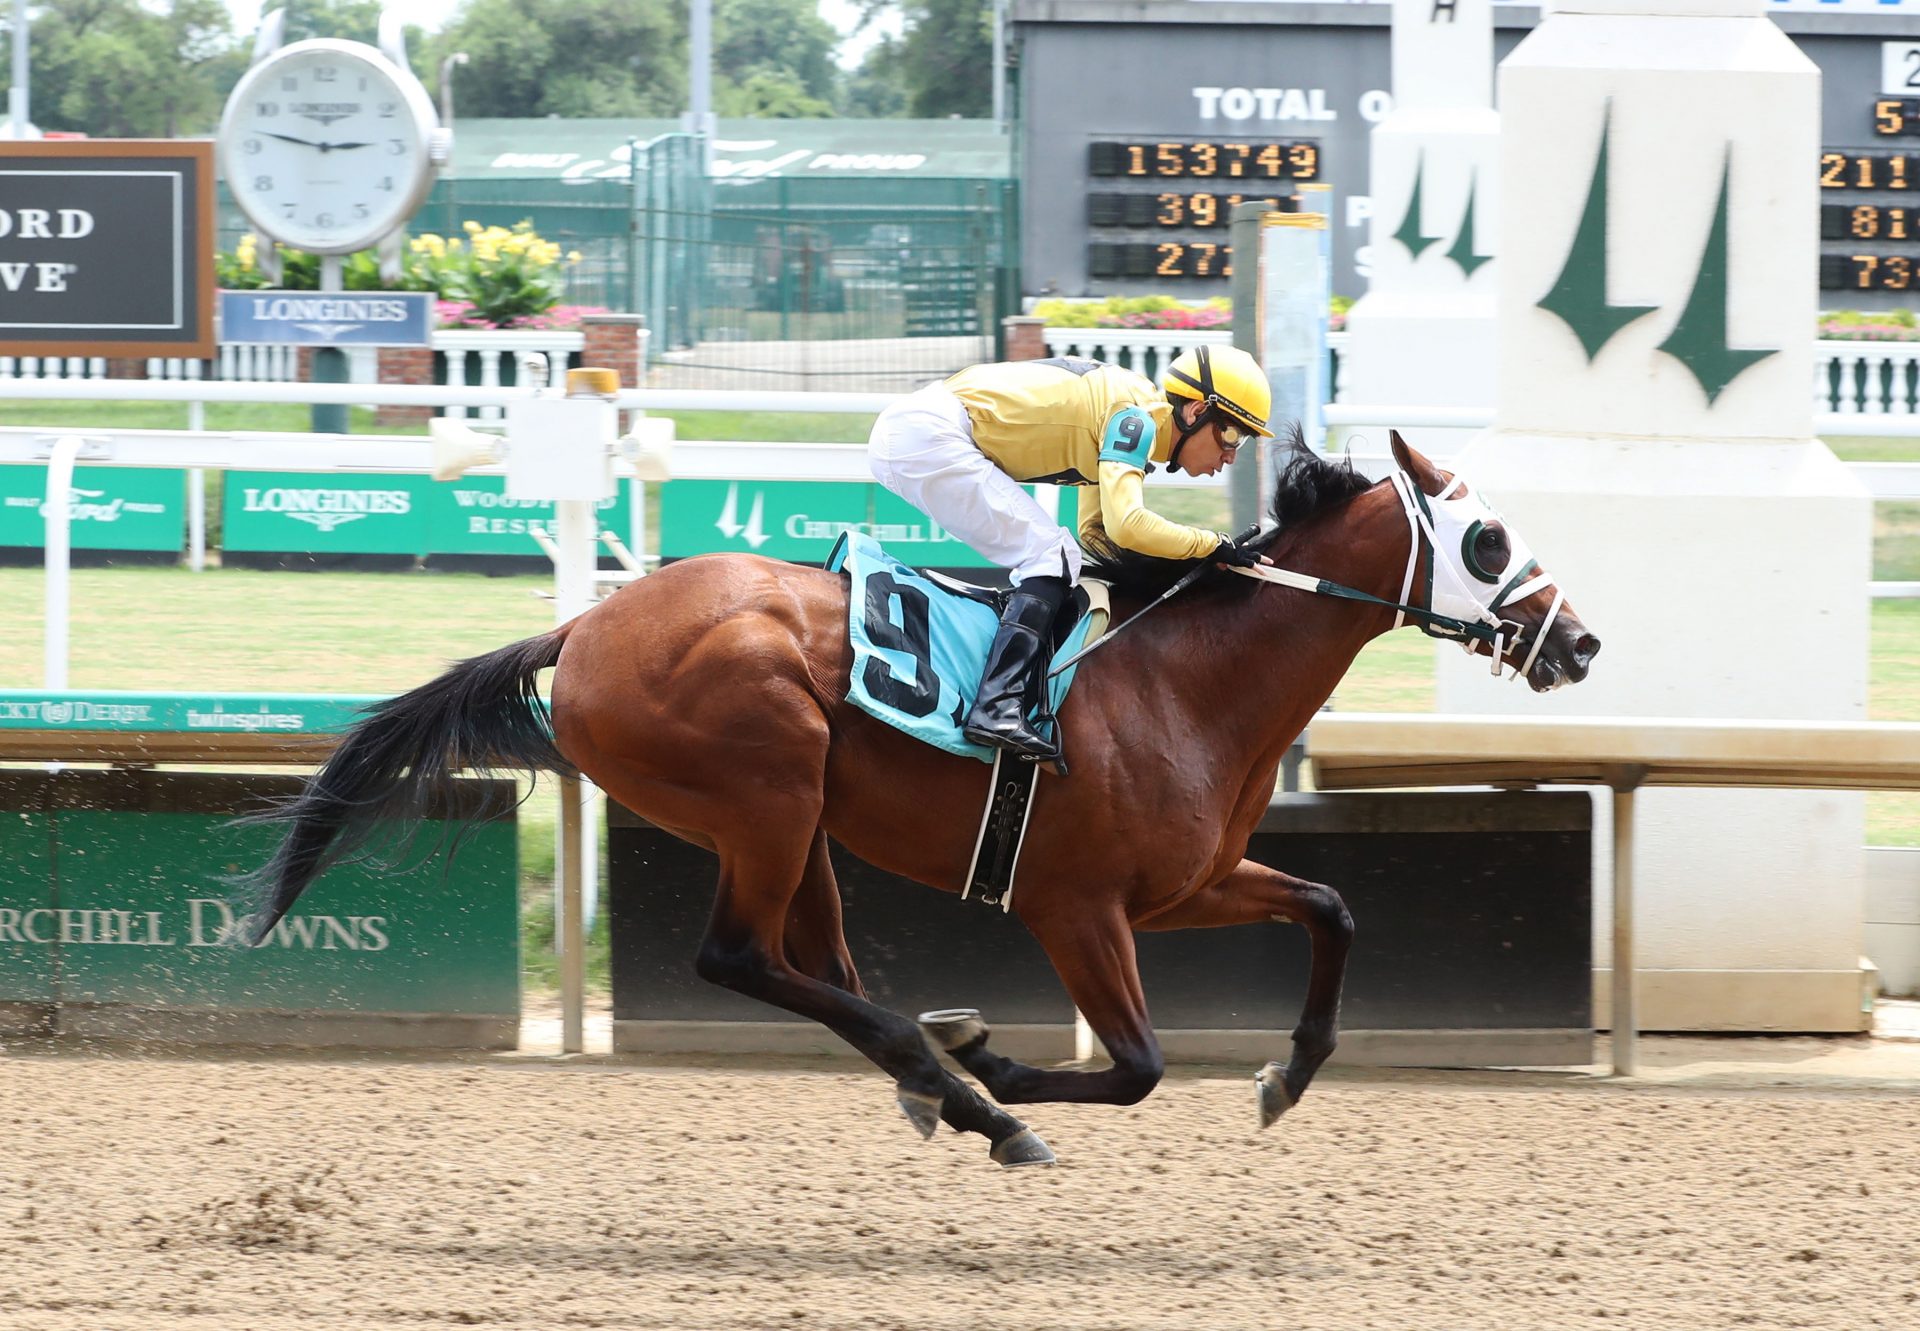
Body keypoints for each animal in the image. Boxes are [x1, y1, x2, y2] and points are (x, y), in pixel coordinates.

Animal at [240, 434, 1597, 1160]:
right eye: (1487, 541)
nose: (1579, 642)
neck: (1182, 681)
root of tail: (586, 626)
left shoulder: (1190, 883)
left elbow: (1331, 905)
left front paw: (1290, 1074)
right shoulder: (1075, 905)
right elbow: (1139, 1064)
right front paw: (999, 1062)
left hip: (799, 824)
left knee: (817, 962)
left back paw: (928, 1073)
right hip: (766, 788)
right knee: (742, 959)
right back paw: (962, 1086)